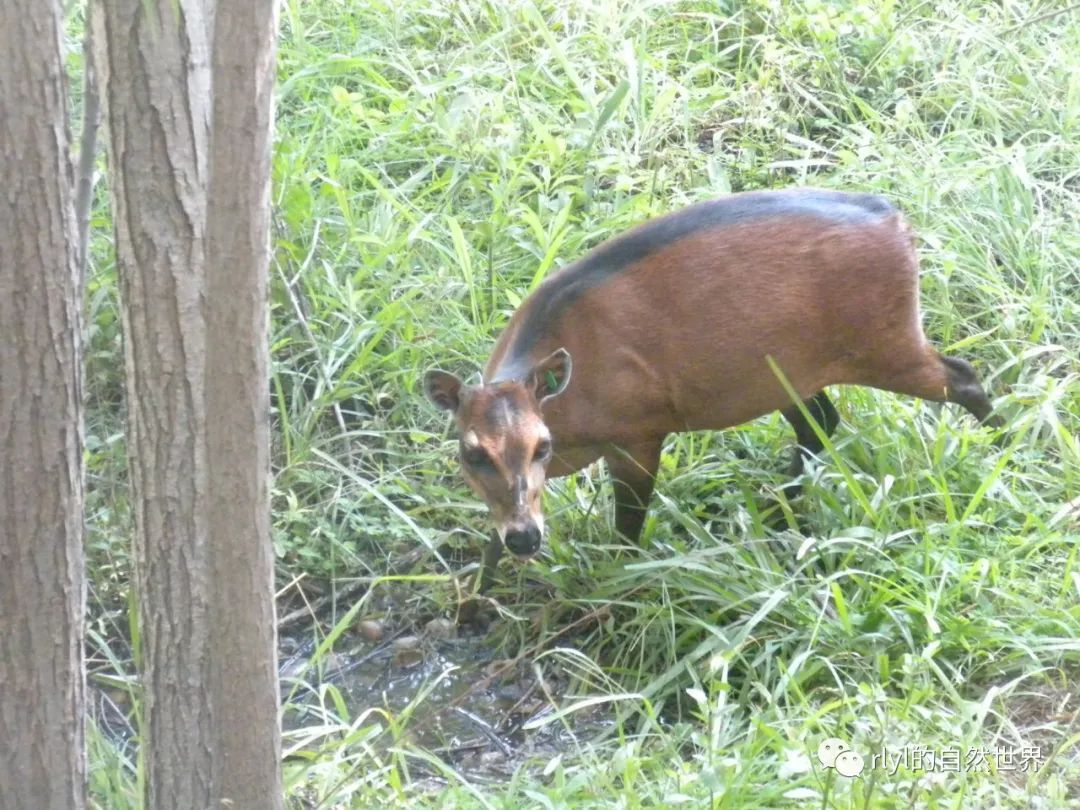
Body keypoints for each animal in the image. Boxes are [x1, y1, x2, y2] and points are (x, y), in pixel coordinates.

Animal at [421, 190, 993, 578]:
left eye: (542, 445)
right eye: (471, 453)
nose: (525, 539)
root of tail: (897, 221)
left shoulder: (638, 433)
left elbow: (628, 526)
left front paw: (618, 585)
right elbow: (491, 535)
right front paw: (476, 598)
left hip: (886, 346)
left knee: (965, 378)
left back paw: (1005, 447)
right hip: (785, 373)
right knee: (821, 422)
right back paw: (780, 509)